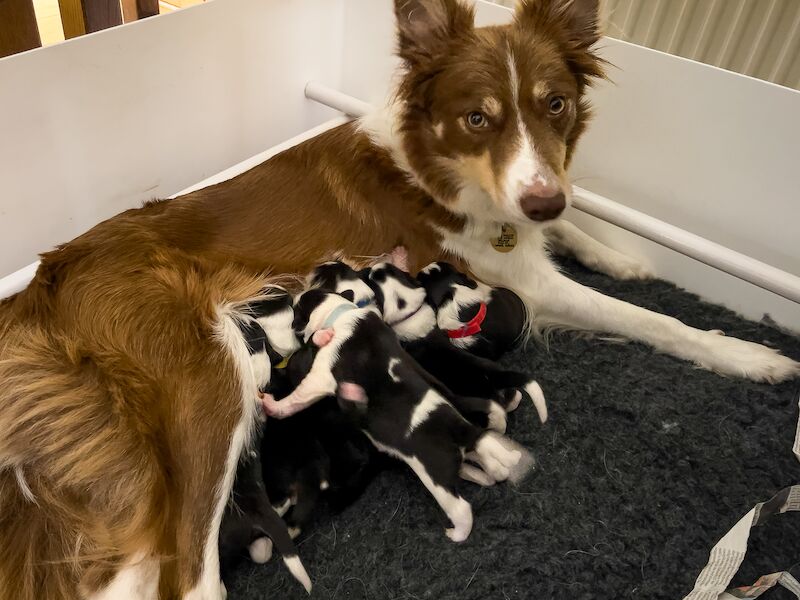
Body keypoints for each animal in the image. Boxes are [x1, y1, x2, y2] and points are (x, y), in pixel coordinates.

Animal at [264, 290, 536, 544]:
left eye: (297, 309)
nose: (290, 306)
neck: (342, 313)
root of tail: (460, 430)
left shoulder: (320, 377)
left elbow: (296, 398)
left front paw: (272, 406)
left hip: (435, 475)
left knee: (461, 508)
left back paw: (456, 533)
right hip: (468, 448)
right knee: (485, 463)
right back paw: (494, 468)